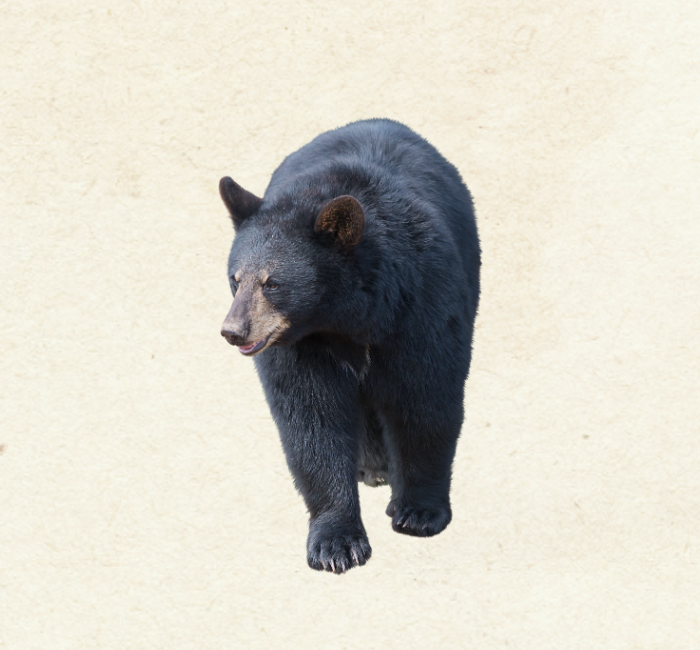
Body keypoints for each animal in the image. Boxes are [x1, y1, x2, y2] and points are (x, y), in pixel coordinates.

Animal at [219, 118, 480, 574]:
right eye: (236, 279)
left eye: (273, 283)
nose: (233, 331)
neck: (348, 316)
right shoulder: (302, 344)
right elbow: (312, 419)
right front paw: (336, 542)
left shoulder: (422, 304)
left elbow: (426, 398)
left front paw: (419, 512)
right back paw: (371, 467)